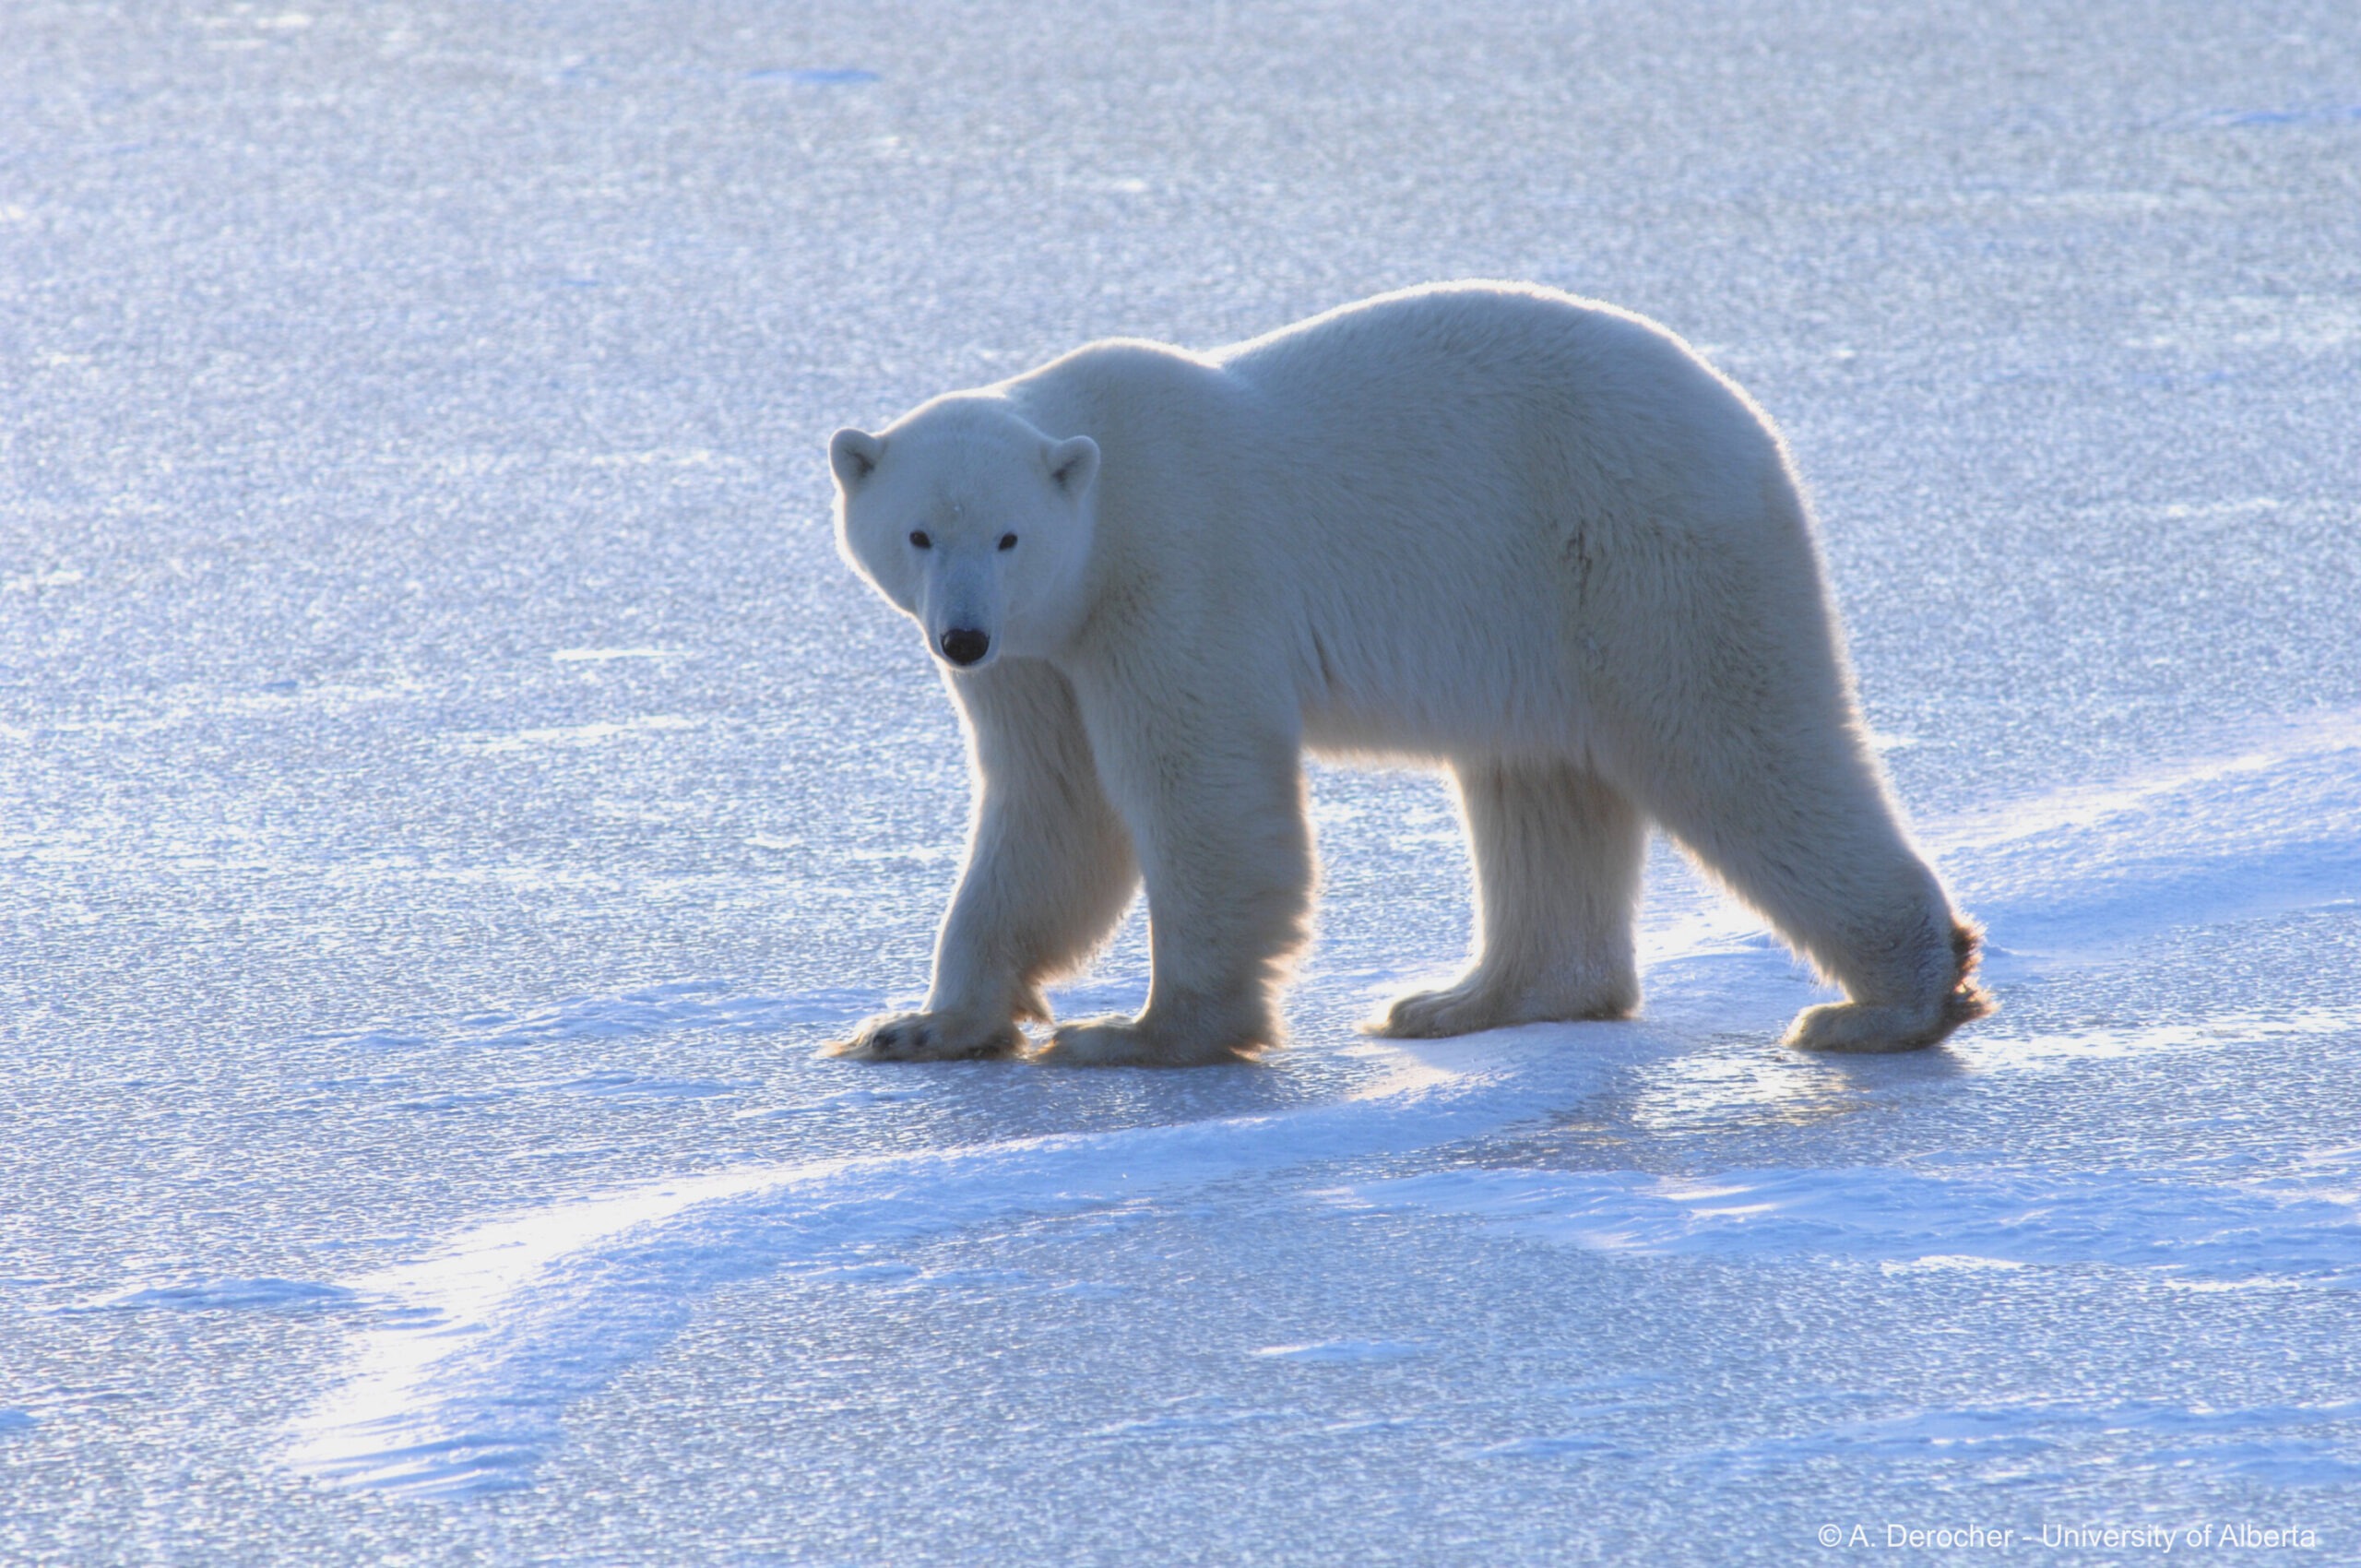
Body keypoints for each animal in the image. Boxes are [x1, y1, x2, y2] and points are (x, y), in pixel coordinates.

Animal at [821, 279, 1983, 1067]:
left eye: (1008, 535)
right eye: (918, 533)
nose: (959, 637)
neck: (1102, 486)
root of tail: (1747, 423)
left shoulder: (1171, 576)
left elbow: (1195, 790)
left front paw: (1143, 1031)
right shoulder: (1044, 652)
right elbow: (1052, 805)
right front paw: (919, 1024)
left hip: (1635, 552)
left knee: (1737, 746)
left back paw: (1888, 1001)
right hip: (1541, 617)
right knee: (1541, 787)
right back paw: (1464, 999)